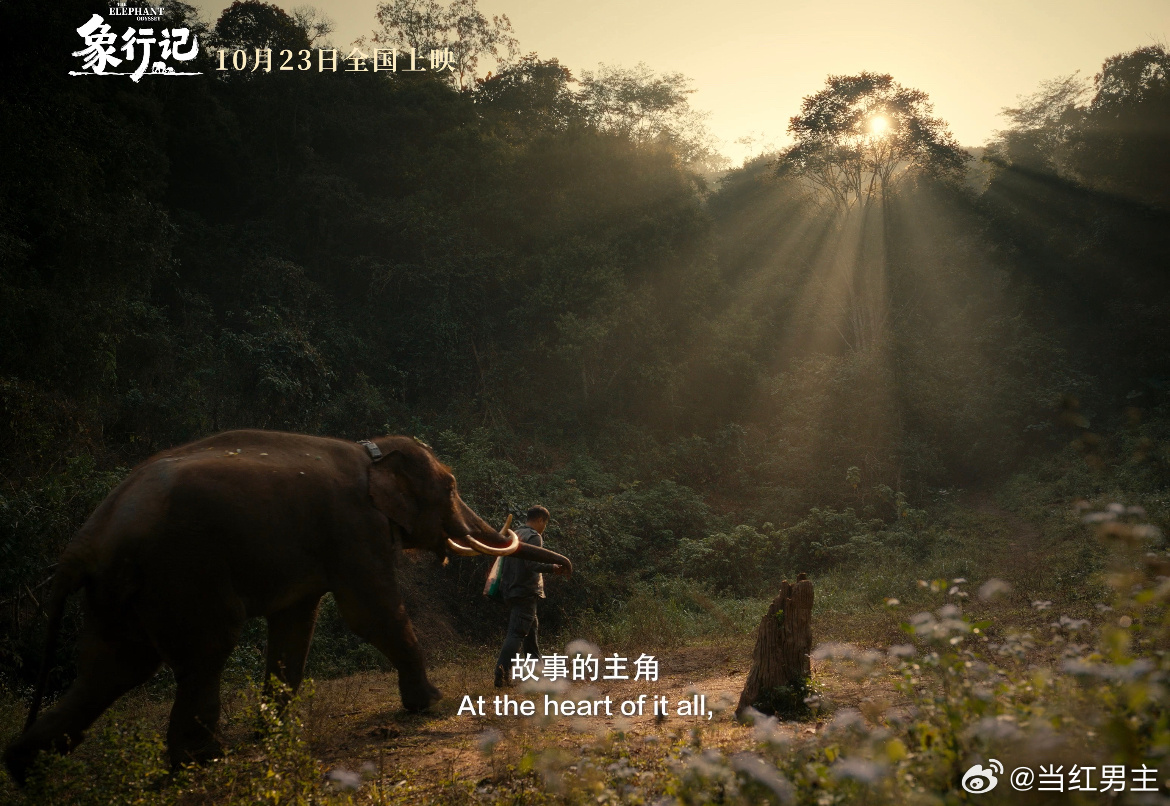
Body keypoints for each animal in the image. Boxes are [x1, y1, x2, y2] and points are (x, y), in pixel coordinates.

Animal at [3, 429, 571, 784]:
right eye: (450, 487)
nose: (563, 567)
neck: (371, 451)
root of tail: (82, 546)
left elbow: (297, 621)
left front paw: (275, 732)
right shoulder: (353, 526)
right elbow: (369, 612)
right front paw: (430, 703)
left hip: (123, 590)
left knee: (112, 667)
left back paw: (26, 769)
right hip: (181, 571)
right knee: (205, 649)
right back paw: (205, 759)